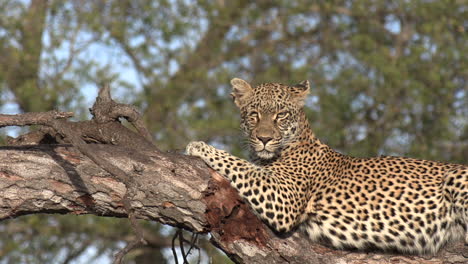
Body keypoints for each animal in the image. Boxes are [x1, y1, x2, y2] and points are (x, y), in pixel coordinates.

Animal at [185, 77, 466, 255]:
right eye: (253, 115)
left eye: (281, 115)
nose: (264, 138)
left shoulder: (283, 196)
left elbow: (240, 165)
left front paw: (199, 146)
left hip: (456, 178)